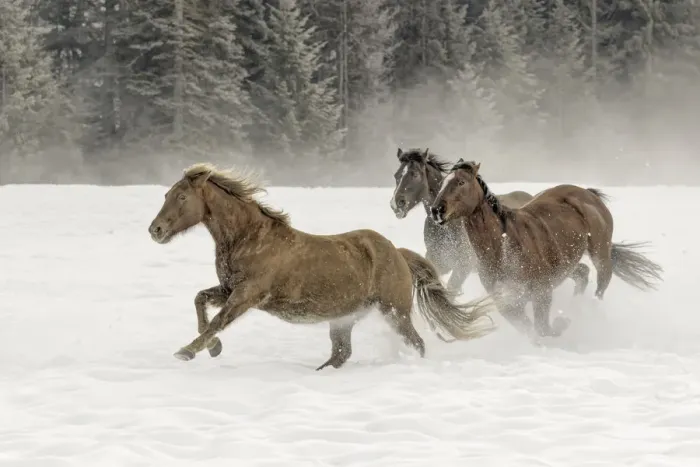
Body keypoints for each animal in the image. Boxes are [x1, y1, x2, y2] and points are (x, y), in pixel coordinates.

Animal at [147, 163, 497, 370]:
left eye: (181, 197)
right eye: (166, 194)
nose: (156, 230)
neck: (249, 238)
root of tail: (397, 253)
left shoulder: (247, 294)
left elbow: (218, 320)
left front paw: (188, 351)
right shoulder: (229, 288)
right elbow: (200, 300)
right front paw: (214, 348)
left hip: (394, 311)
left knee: (416, 343)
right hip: (343, 319)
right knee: (341, 354)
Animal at [390, 147, 591, 297]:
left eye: (415, 174)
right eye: (396, 175)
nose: (396, 204)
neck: (449, 229)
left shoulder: (462, 266)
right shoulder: (438, 260)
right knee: (581, 272)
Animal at [429, 159, 663, 340]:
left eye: (460, 182)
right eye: (443, 182)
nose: (436, 210)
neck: (503, 247)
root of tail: (588, 194)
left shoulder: (541, 291)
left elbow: (542, 328)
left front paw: (562, 323)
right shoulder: (506, 301)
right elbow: (527, 327)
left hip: (600, 253)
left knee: (601, 281)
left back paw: (586, 311)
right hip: (567, 265)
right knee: (583, 274)